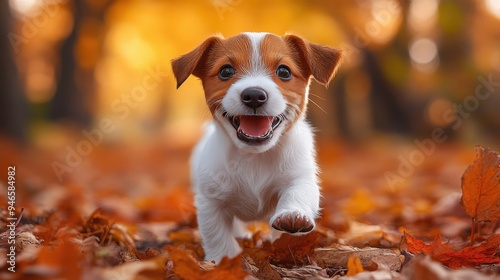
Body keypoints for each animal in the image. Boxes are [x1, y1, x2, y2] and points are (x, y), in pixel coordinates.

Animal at [173, 32, 344, 262]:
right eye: (226, 71)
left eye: (284, 71)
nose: (254, 95)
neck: (254, 157)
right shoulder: (210, 201)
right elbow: (217, 234)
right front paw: (223, 260)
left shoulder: (300, 177)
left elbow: (297, 193)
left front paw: (293, 214)